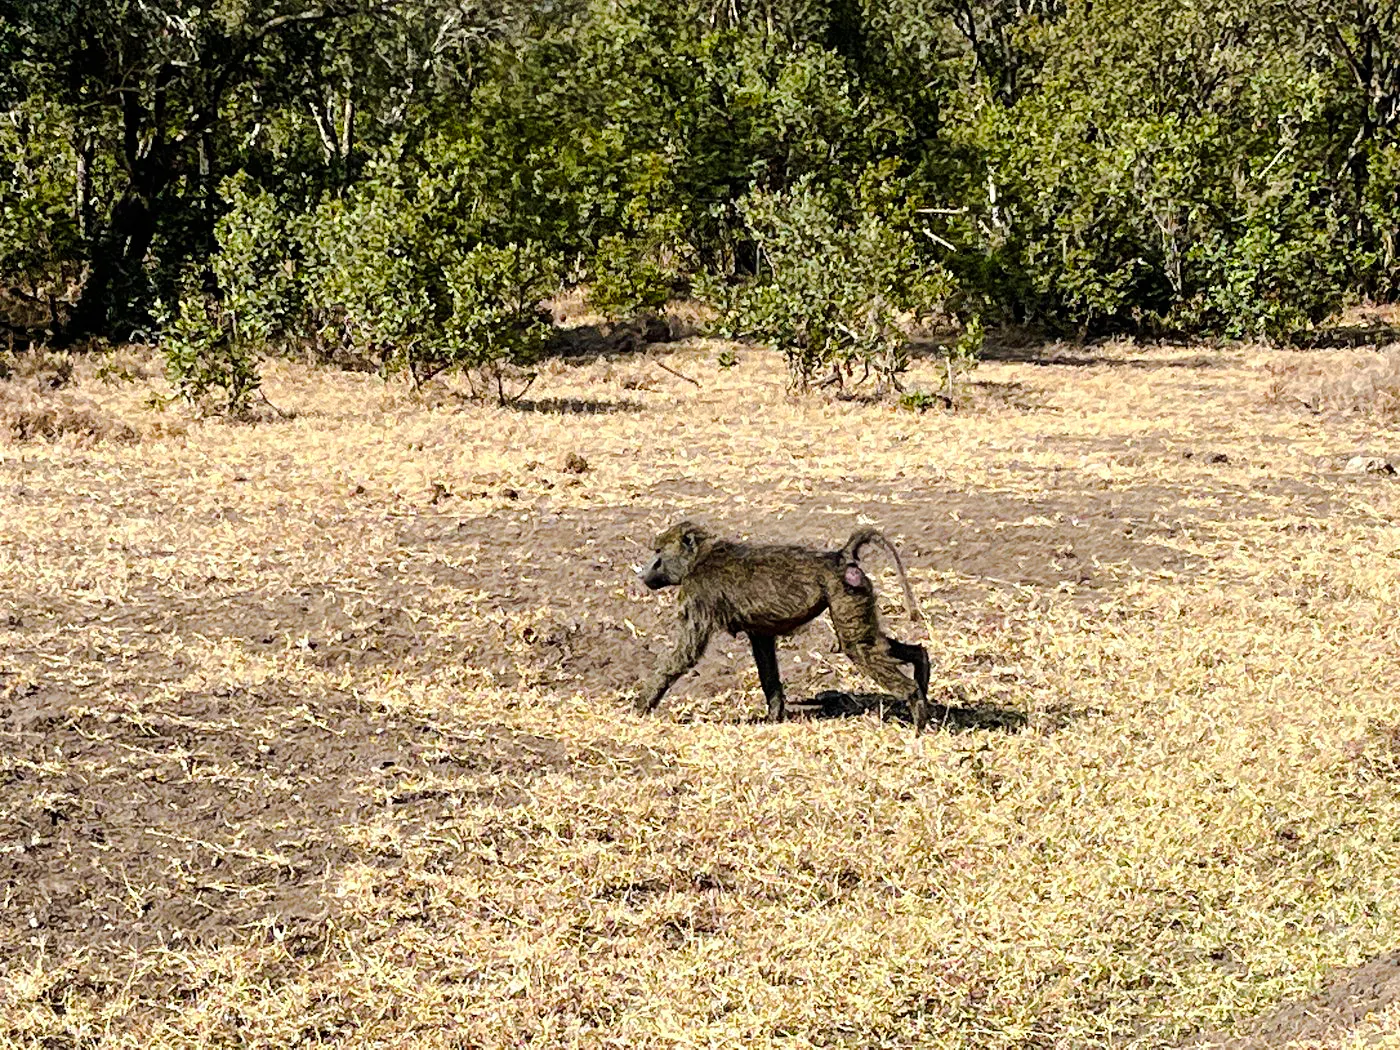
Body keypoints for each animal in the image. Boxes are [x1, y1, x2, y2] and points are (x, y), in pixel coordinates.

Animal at [633, 521, 933, 731]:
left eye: (658, 551)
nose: (644, 572)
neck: (700, 558)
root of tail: (839, 557)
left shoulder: (698, 594)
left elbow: (685, 654)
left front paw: (640, 707)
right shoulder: (759, 632)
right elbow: (765, 660)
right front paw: (773, 716)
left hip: (845, 592)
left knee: (858, 648)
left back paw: (916, 713)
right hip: (857, 593)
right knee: (875, 644)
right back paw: (921, 672)